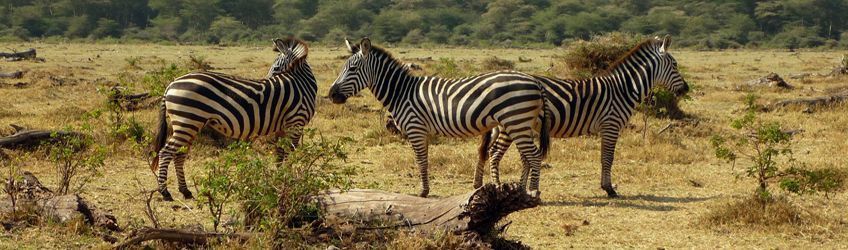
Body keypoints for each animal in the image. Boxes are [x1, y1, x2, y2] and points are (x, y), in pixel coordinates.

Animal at [147, 37, 316, 201]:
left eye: (274, 68)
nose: (265, 80)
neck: (301, 84)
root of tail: (170, 84)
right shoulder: (296, 122)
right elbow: (290, 153)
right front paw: (291, 181)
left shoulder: (283, 127)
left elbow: (280, 154)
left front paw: (280, 180)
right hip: (187, 122)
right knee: (166, 152)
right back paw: (165, 193)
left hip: (189, 124)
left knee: (179, 155)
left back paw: (185, 191)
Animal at [328, 37, 552, 197]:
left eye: (352, 69)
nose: (331, 95)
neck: (402, 92)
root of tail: (535, 81)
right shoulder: (422, 131)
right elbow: (425, 160)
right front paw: (425, 189)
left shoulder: (415, 128)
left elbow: (421, 161)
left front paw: (423, 191)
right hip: (521, 123)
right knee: (528, 156)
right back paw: (523, 190)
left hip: (515, 121)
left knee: (534, 155)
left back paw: (534, 191)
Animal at [476, 35, 688, 197]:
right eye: (675, 65)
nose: (686, 89)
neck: (622, 89)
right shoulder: (611, 125)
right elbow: (608, 157)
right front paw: (609, 189)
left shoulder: (607, 127)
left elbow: (605, 156)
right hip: (511, 124)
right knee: (495, 153)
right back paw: (497, 187)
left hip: (510, 125)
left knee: (491, 152)